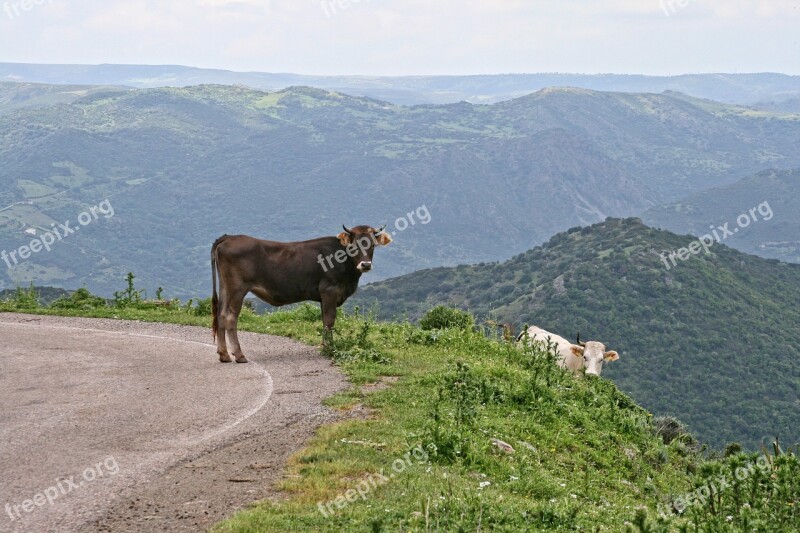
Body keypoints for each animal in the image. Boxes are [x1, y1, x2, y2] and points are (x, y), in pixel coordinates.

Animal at [209, 224, 390, 362]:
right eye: (354, 245)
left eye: (372, 245)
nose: (365, 265)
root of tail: (229, 237)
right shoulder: (329, 291)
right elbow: (329, 320)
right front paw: (329, 349)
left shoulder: (323, 296)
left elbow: (324, 320)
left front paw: (325, 346)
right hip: (237, 289)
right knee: (230, 317)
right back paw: (239, 355)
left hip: (225, 287)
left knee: (220, 315)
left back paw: (224, 355)